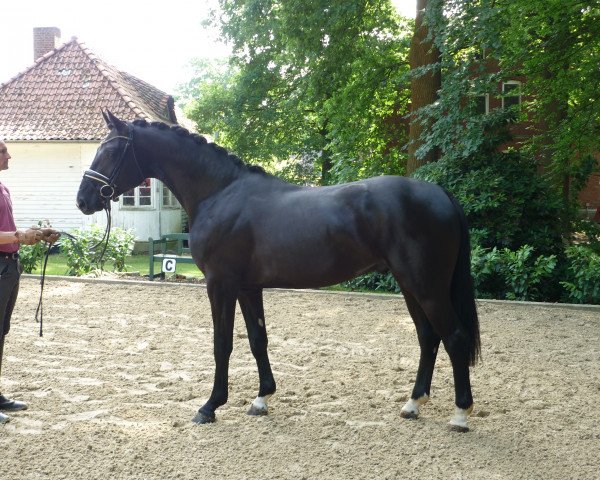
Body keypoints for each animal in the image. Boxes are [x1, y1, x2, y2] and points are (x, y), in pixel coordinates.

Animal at [77, 111, 480, 432]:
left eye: (109, 150)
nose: (83, 199)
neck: (220, 193)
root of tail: (441, 194)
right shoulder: (247, 287)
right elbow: (258, 339)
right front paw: (261, 398)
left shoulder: (220, 285)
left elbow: (222, 343)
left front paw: (210, 406)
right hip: (410, 286)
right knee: (428, 338)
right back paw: (413, 404)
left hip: (426, 286)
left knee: (454, 337)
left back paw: (460, 414)